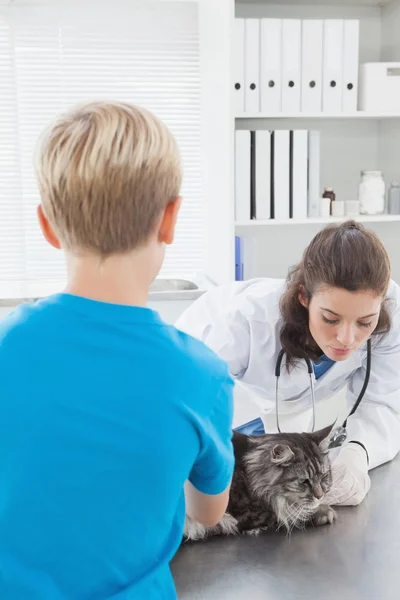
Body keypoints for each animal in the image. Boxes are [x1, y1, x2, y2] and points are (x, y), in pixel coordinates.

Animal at [186, 424, 336, 540]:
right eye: (304, 481)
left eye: (324, 476)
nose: (320, 496)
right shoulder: (246, 513)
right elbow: (287, 514)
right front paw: (324, 511)